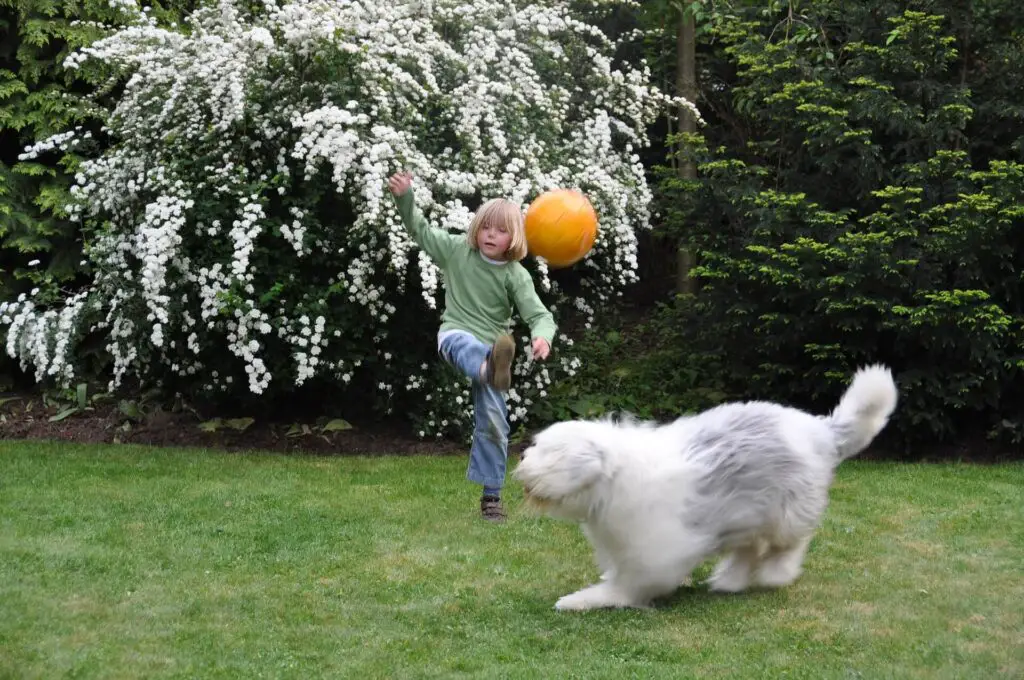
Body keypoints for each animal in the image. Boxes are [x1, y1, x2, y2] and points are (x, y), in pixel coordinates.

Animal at [512, 366, 897, 610]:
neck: (610, 480)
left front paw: (581, 600)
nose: (521, 466)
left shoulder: (654, 555)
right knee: (750, 549)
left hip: (788, 510)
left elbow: (628, 586)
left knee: (788, 545)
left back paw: (775, 574)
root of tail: (822, 430)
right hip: (747, 512)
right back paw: (729, 580)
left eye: (550, 453)